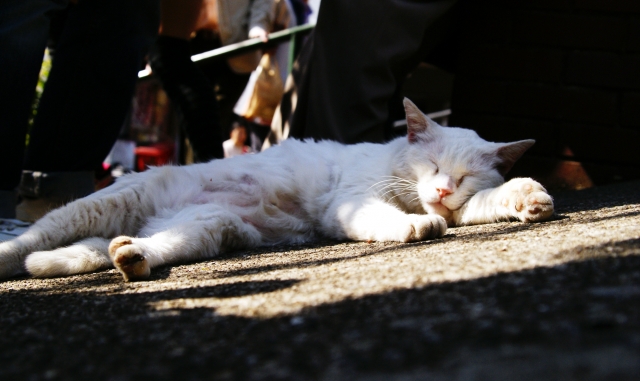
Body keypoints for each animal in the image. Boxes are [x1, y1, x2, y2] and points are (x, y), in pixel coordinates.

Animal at [0, 99, 552, 280]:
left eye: (463, 178)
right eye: (432, 165)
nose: (439, 192)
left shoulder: (465, 208)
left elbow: (483, 205)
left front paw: (529, 198)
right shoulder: (349, 202)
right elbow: (387, 216)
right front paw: (418, 222)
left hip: (206, 229)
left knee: (144, 248)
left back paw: (130, 258)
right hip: (104, 203)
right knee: (32, 238)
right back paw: (14, 254)